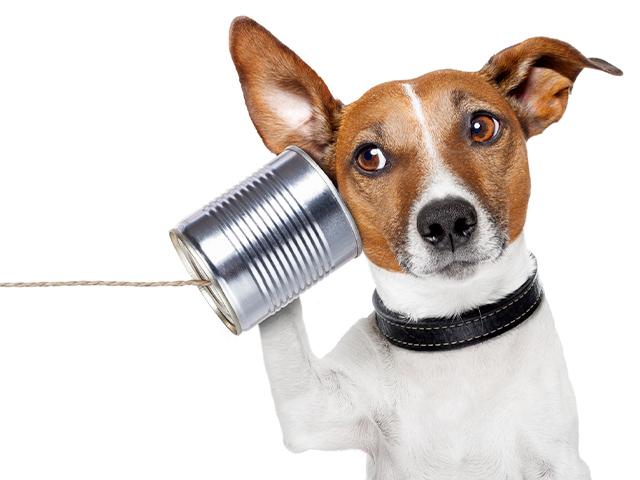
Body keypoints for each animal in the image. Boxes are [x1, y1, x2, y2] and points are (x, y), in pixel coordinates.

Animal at [229, 15, 620, 480]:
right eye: (369, 157)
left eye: (481, 126)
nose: (446, 219)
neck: (457, 328)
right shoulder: (312, 410)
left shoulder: (560, 457)